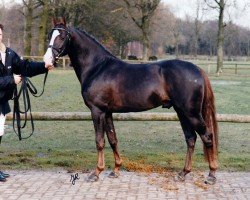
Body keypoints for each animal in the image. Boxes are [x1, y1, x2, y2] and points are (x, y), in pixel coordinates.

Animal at [44, 18, 218, 184]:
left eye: (62, 36)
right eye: (50, 35)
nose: (47, 60)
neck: (98, 67)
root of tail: (198, 70)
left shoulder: (97, 111)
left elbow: (99, 141)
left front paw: (96, 173)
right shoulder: (107, 112)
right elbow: (113, 139)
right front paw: (115, 170)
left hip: (191, 113)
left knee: (207, 137)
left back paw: (211, 175)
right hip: (182, 112)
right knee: (191, 139)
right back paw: (183, 173)